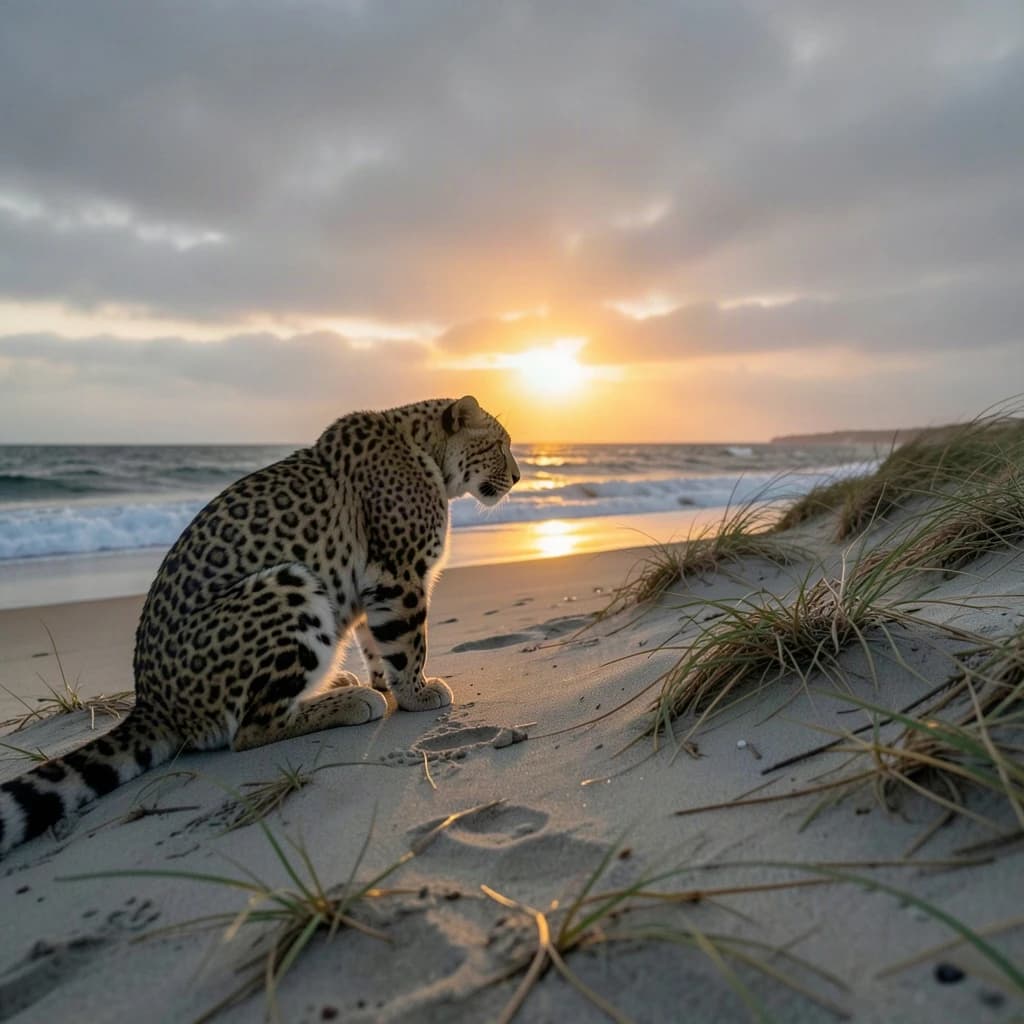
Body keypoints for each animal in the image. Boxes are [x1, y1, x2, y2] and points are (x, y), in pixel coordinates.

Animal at [0, 396, 519, 856]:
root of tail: (151, 703)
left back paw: (342, 685)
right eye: (499, 444)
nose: (517, 476)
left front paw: (388, 683)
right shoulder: (398, 575)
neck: (428, 453)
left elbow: (377, 642)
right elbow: (407, 642)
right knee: (251, 729)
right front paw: (416, 693)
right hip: (290, 585)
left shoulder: (372, 584)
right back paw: (350, 700)